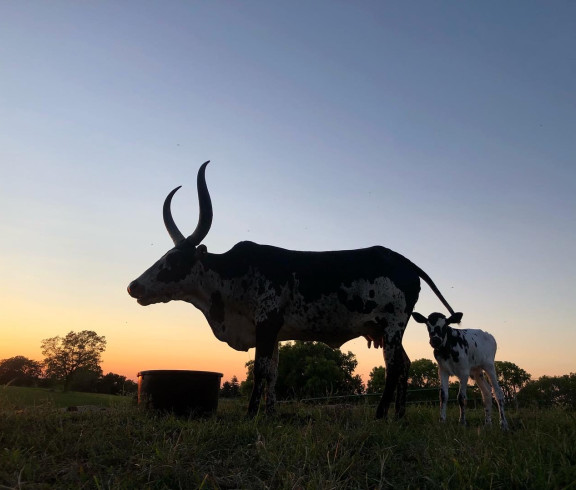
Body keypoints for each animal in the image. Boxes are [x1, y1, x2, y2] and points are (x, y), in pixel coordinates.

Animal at [128, 163, 462, 420]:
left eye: (173, 261)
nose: (134, 286)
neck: (233, 277)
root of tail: (404, 262)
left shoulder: (265, 323)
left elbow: (261, 370)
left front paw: (250, 415)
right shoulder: (273, 332)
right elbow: (273, 372)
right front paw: (269, 415)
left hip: (392, 326)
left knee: (393, 368)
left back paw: (380, 415)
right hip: (388, 330)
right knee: (404, 365)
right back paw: (399, 416)